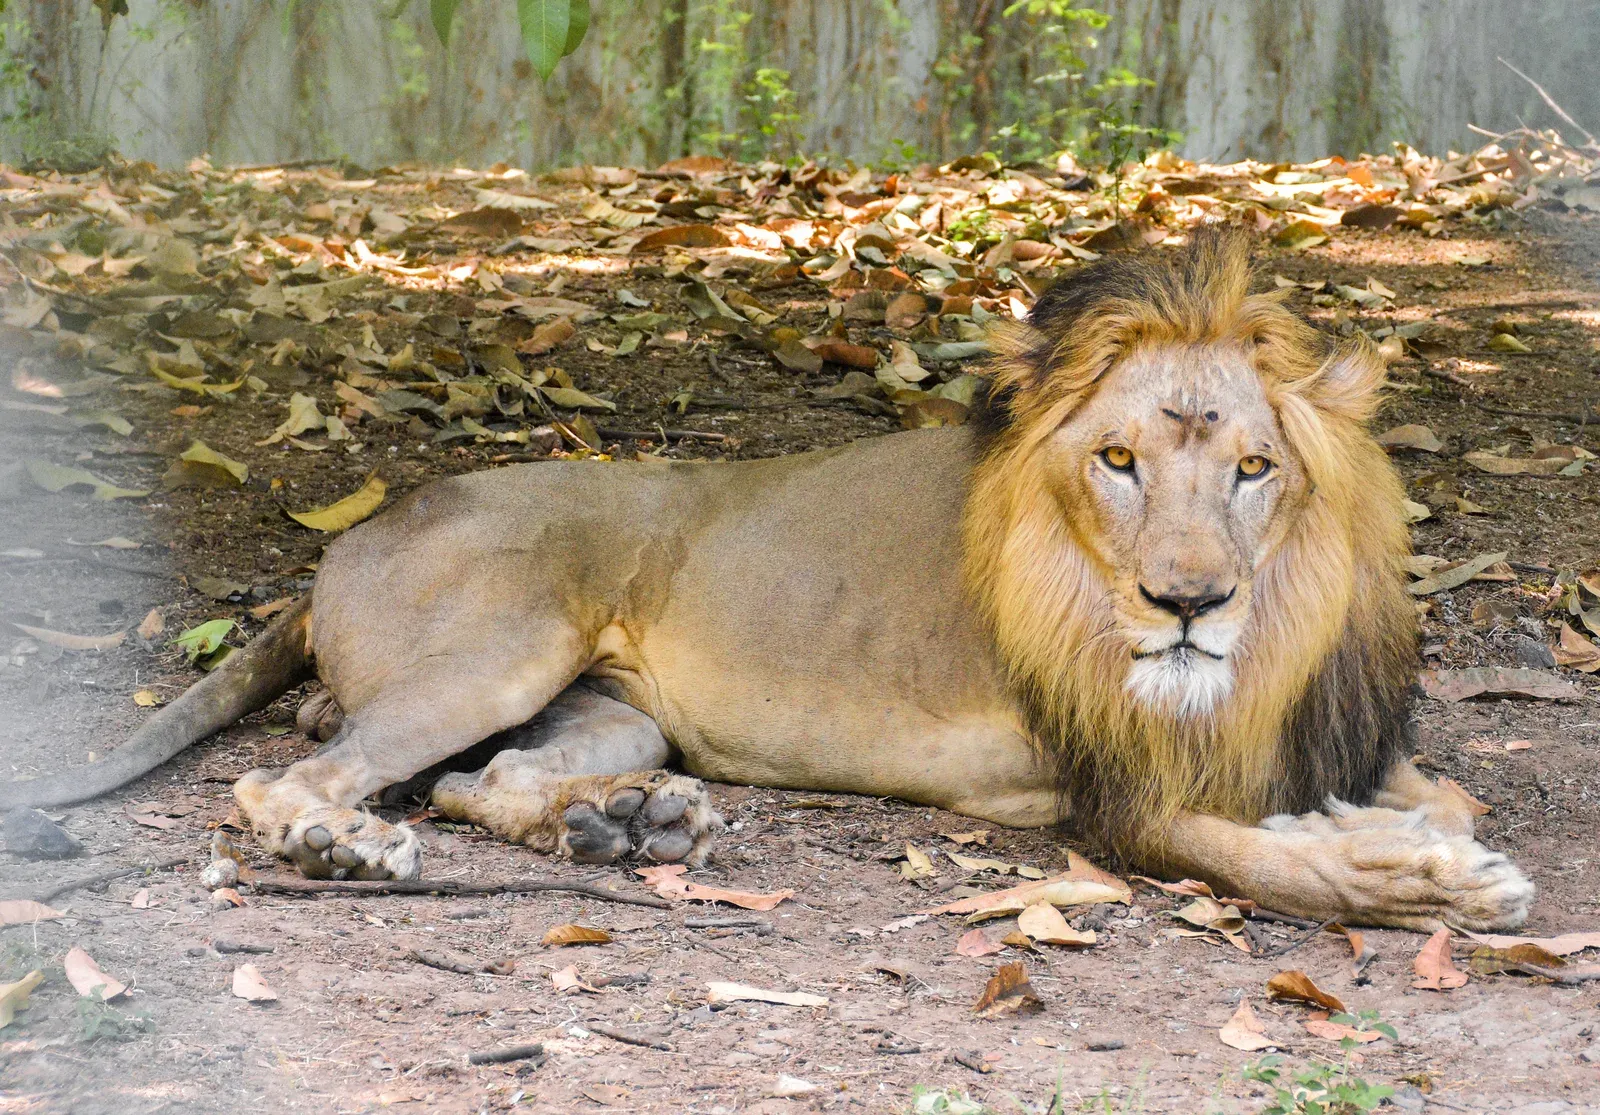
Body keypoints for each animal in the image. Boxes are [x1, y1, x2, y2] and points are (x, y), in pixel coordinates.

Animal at [0, 230, 1533, 930]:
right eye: (1117, 461)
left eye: (1254, 469)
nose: (1189, 603)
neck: (1267, 640)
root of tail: (340, 541)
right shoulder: (1113, 791)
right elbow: (1275, 859)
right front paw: (1425, 879)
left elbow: (1433, 788)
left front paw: (1416, 831)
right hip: (501, 642)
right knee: (297, 779)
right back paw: (351, 846)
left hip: (609, 704)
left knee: (481, 781)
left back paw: (625, 824)